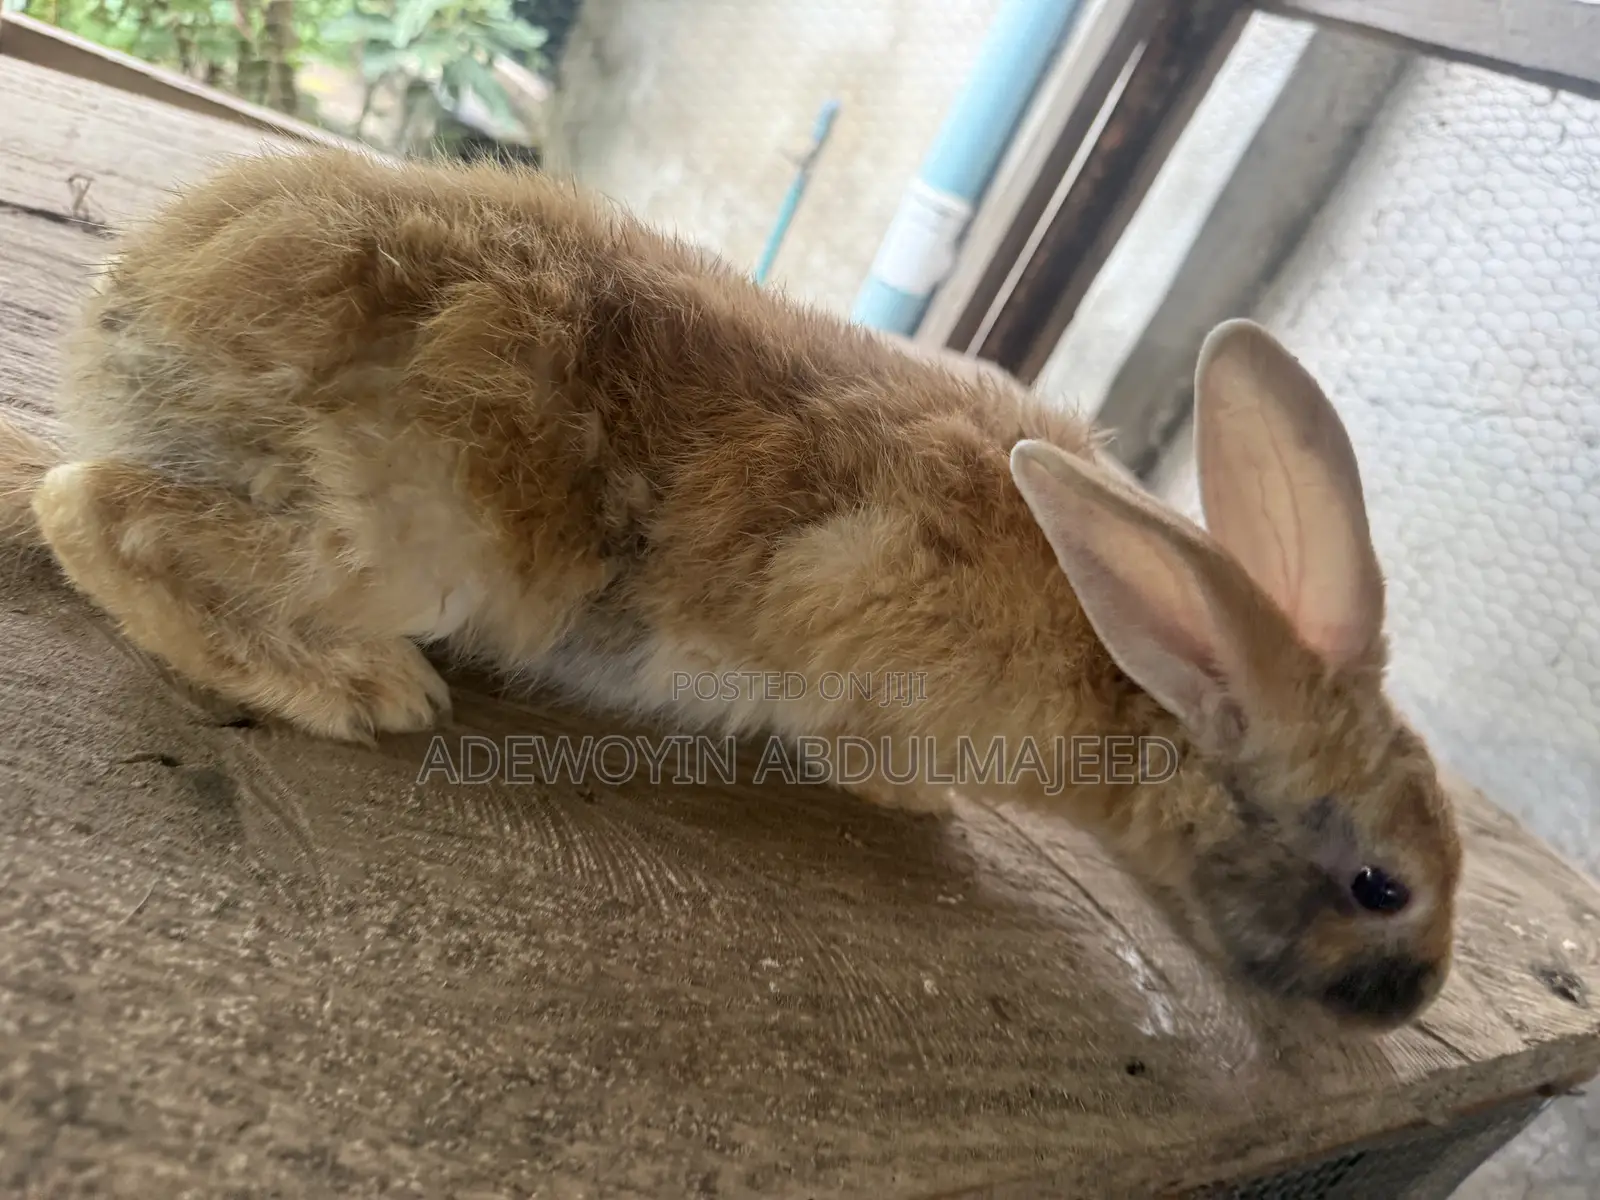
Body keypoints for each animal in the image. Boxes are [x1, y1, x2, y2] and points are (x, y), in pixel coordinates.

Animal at [0, 146, 1461, 1031]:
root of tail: (128, 327)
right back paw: (352, 688)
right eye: (1380, 886)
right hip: (391, 548)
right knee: (90, 513)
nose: (1411, 999)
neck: (1131, 676)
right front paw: (923, 804)